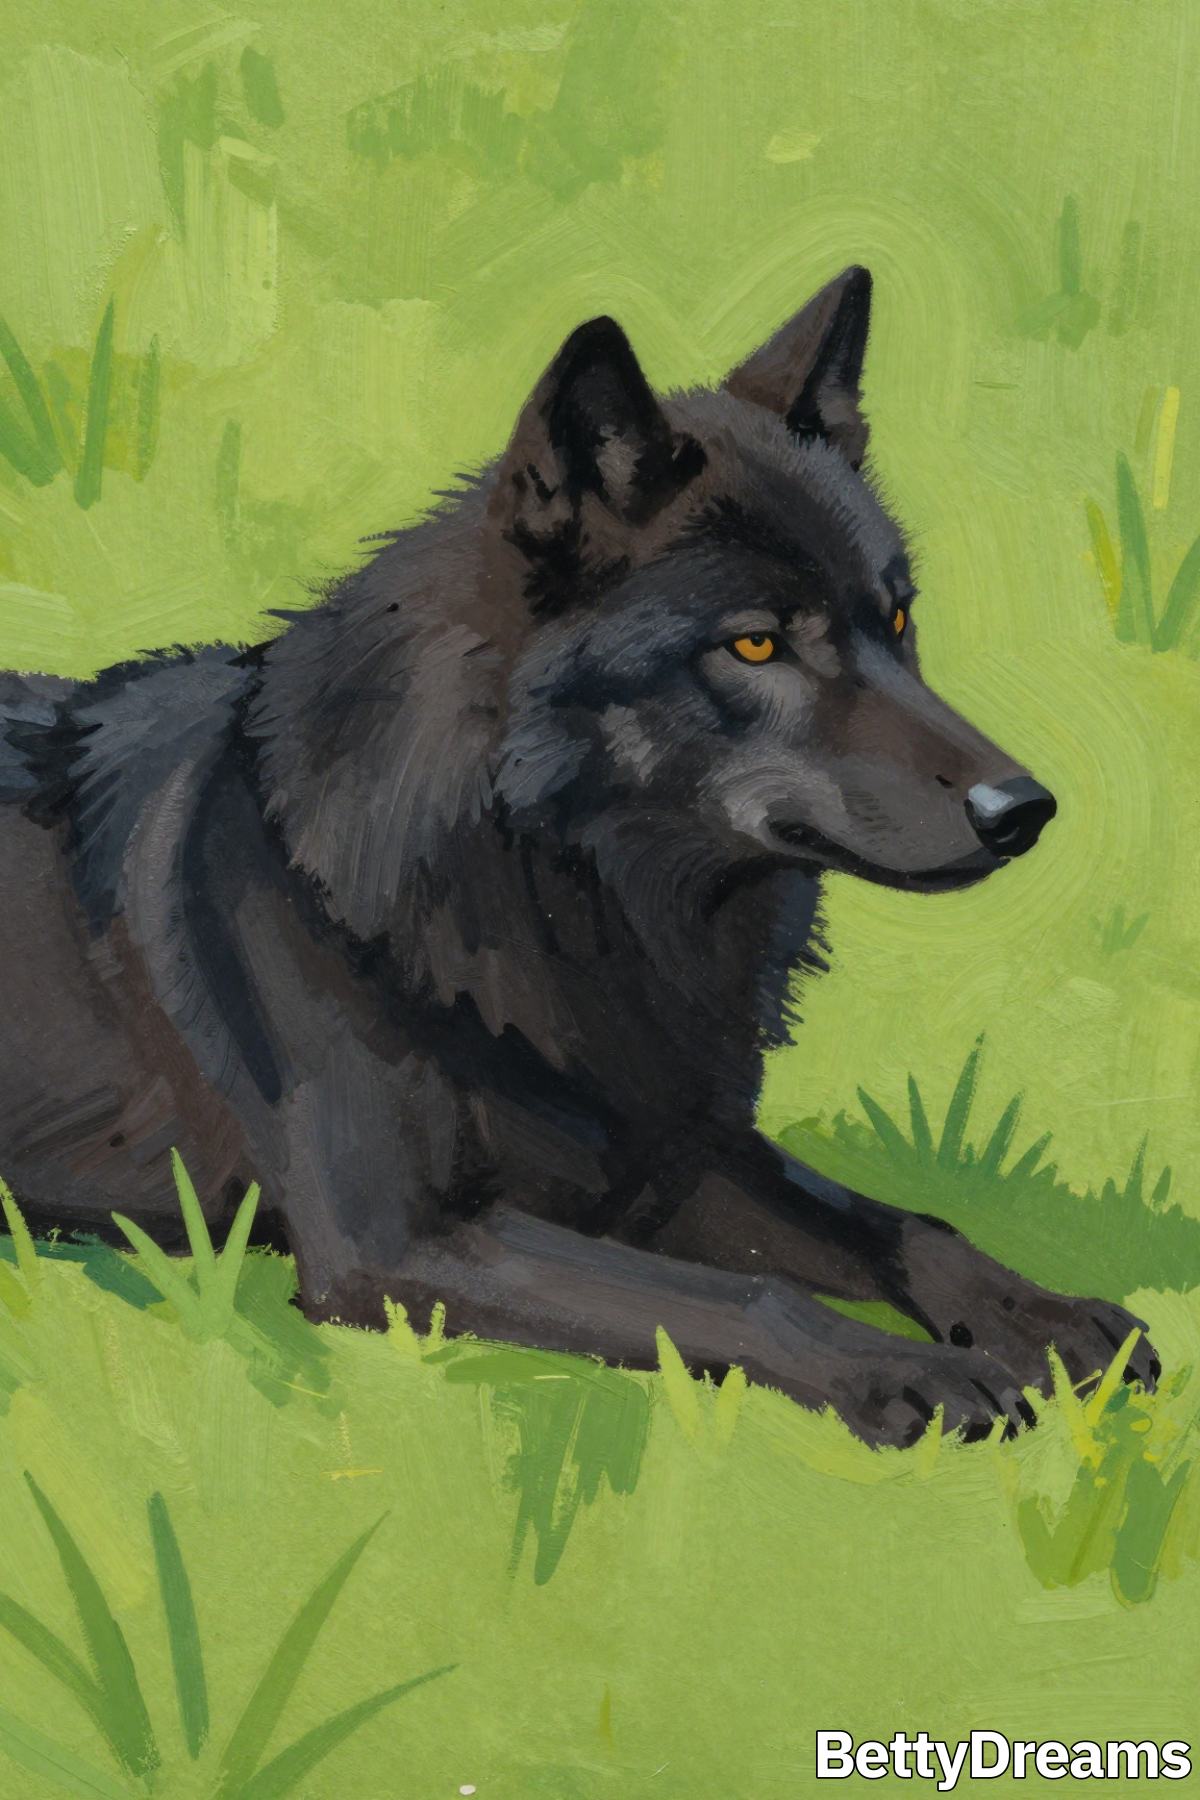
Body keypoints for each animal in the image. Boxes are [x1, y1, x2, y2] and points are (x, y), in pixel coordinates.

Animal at [0, 267, 1156, 1445]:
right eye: (755, 644)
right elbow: (748, 1295)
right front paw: (909, 1370)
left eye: (900, 620)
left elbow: (899, 1224)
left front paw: (1039, 1314)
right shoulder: (400, 1247)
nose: (1024, 808)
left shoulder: (675, 1156)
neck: (571, 894)